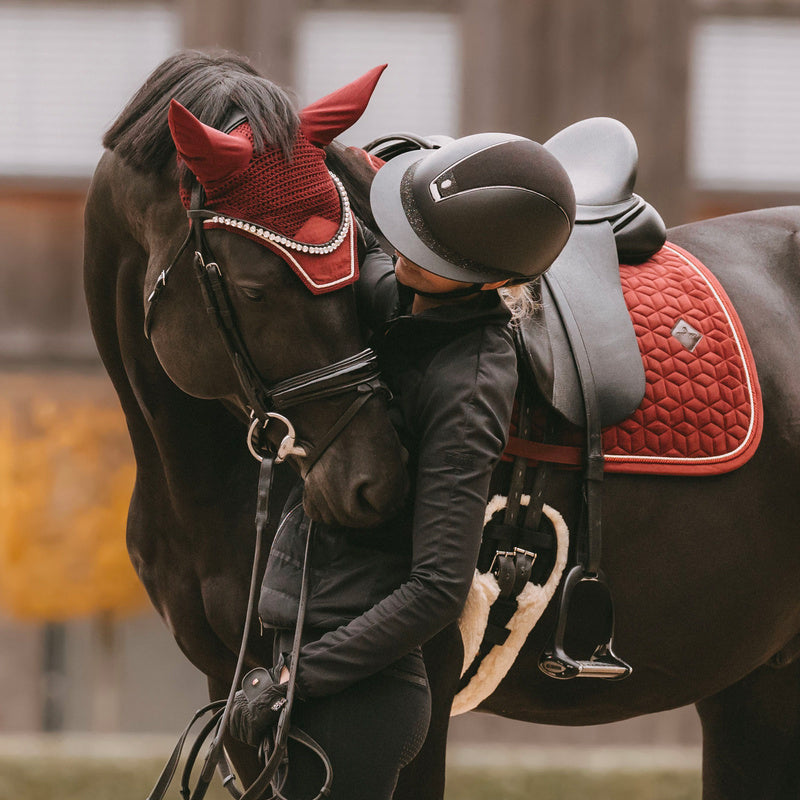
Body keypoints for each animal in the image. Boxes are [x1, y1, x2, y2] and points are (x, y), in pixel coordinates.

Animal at [84, 51, 796, 800]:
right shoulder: (235, 690)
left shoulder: (407, 689)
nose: (375, 485)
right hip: (757, 686)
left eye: (354, 270)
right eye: (254, 289)